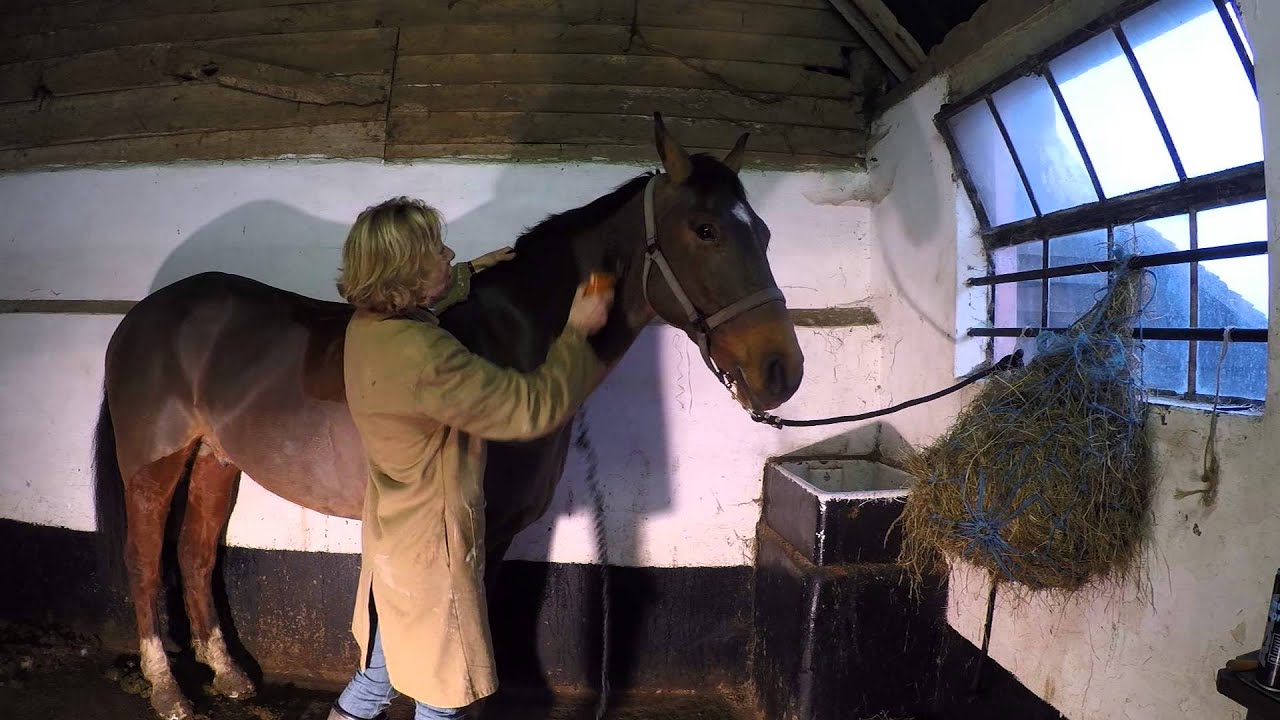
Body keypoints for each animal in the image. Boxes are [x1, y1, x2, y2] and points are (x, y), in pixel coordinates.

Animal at [93, 114, 805, 720]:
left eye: (766, 234)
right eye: (705, 230)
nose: (782, 371)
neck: (515, 338)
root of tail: (145, 314)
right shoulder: (480, 535)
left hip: (217, 459)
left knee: (194, 552)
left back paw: (230, 675)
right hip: (154, 465)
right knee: (144, 560)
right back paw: (168, 690)